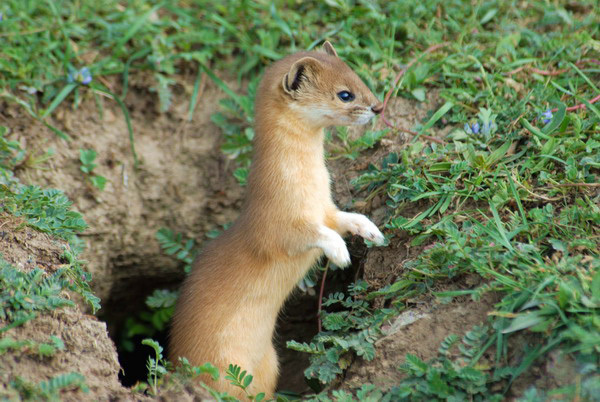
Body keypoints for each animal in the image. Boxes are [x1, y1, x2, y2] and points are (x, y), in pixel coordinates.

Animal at [169, 41, 384, 398]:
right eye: (345, 94)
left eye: (358, 75)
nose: (378, 107)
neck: (308, 185)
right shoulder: (273, 222)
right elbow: (308, 235)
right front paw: (339, 252)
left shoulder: (325, 207)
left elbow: (344, 218)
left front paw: (371, 230)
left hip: (270, 363)